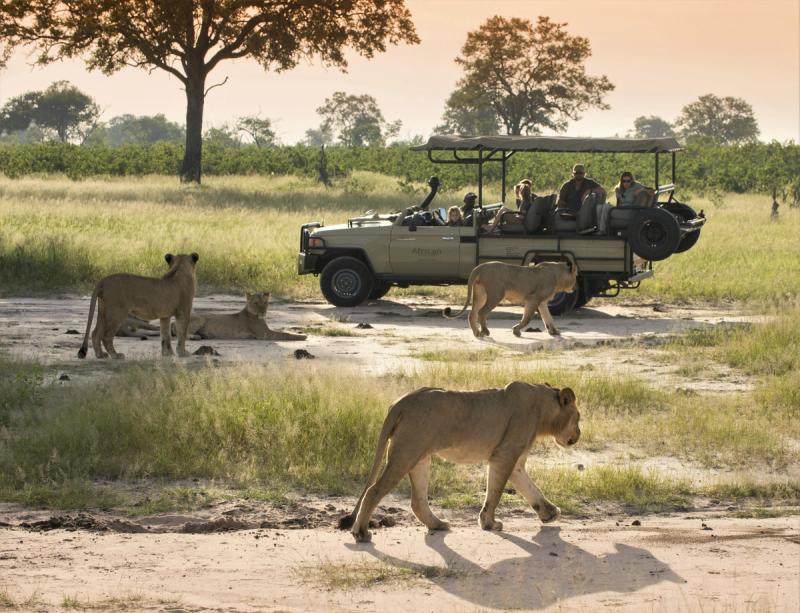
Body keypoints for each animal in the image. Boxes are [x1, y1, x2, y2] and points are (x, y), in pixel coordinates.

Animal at [178, 292, 306, 341]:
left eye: (265, 303)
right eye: (256, 303)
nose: (263, 312)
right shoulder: (265, 334)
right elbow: (285, 334)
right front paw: (302, 336)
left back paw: (205, 335)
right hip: (200, 318)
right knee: (183, 334)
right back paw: (195, 337)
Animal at [338, 381, 581, 543]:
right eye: (578, 418)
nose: (579, 435)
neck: (542, 407)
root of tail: (400, 401)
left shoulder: (515, 461)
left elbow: (530, 488)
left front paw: (550, 513)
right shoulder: (504, 454)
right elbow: (495, 493)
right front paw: (489, 523)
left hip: (419, 457)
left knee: (417, 500)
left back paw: (438, 524)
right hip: (405, 453)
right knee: (373, 490)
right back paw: (361, 533)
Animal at [444, 260, 577, 338]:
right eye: (576, 276)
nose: (575, 288)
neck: (558, 275)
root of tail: (480, 267)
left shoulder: (542, 302)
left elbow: (548, 318)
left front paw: (554, 332)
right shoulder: (533, 299)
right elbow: (526, 319)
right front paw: (516, 331)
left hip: (481, 294)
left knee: (472, 313)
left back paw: (476, 333)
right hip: (496, 294)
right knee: (481, 312)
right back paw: (485, 331)